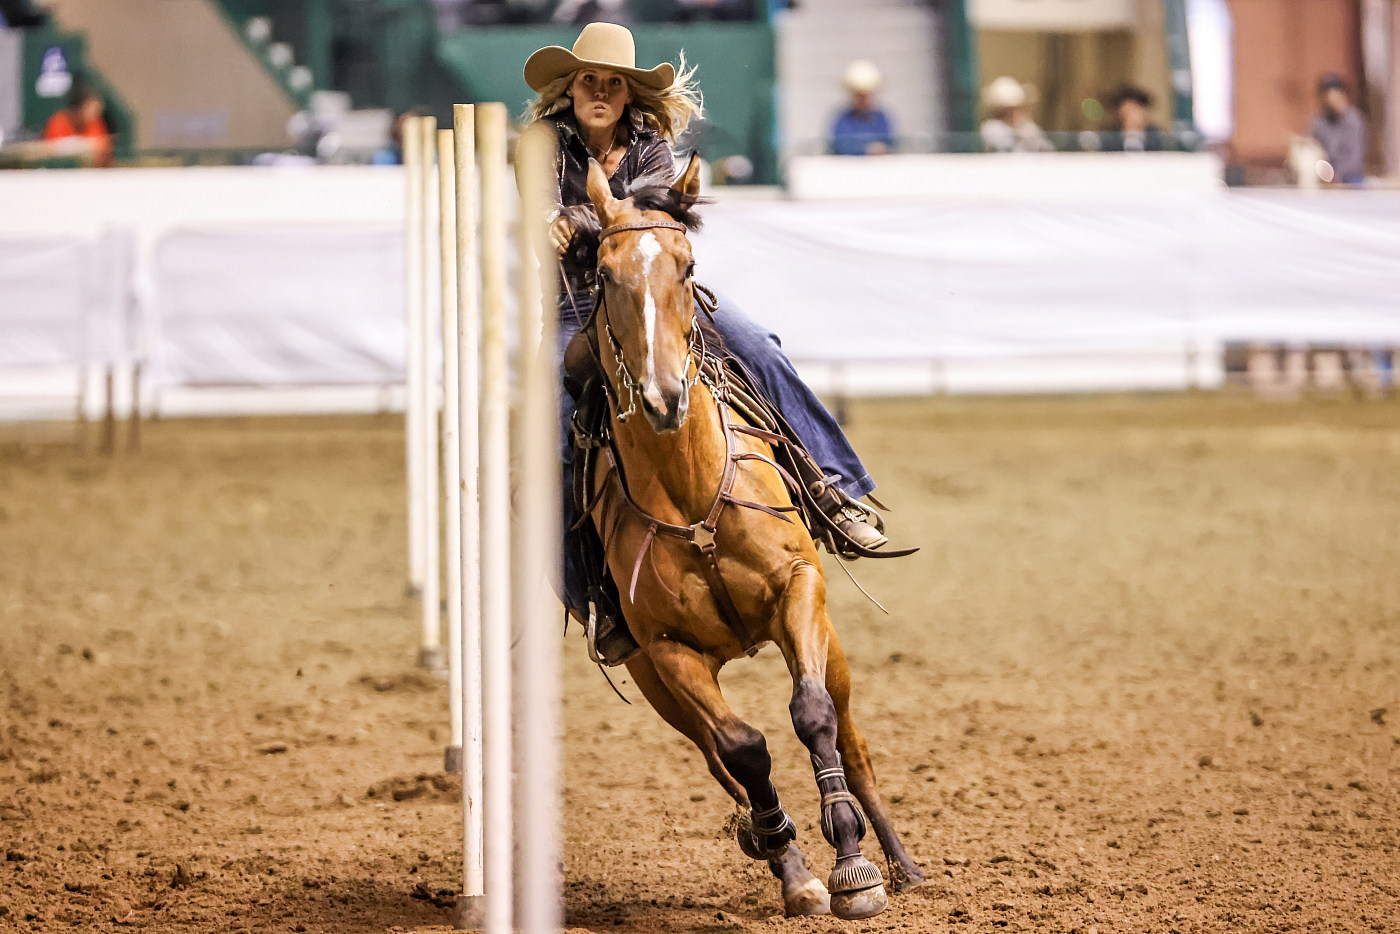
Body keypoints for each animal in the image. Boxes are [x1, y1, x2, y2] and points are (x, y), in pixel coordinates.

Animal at [572, 154, 925, 921]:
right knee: (719, 757)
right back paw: (775, 847)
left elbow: (812, 715)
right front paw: (794, 864)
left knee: (853, 740)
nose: (663, 396)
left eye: (686, 266)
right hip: (655, 683)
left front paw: (854, 864)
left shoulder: (799, 589)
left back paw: (904, 866)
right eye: (603, 274)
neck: (691, 492)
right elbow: (743, 747)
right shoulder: (666, 652)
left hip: (830, 638)